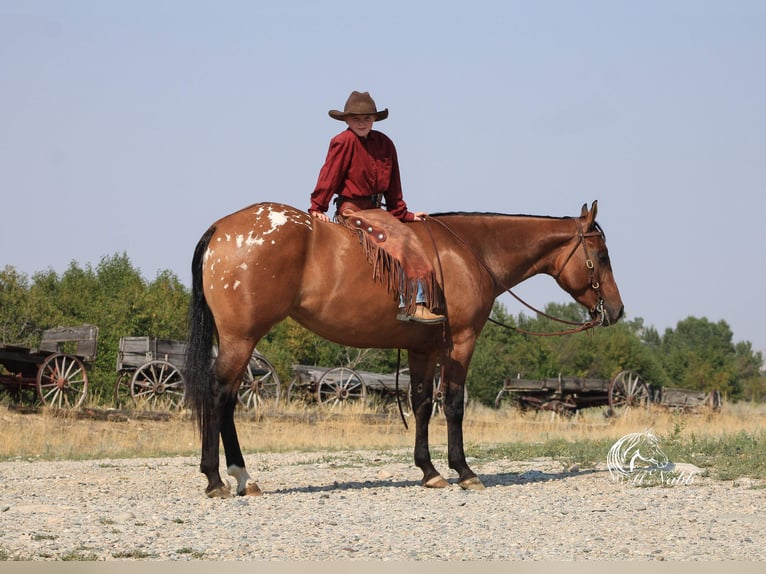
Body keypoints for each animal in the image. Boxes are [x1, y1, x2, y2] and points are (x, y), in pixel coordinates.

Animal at [184, 202, 624, 500]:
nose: (617, 310)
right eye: (601, 256)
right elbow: (454, 404)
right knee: (220, 395)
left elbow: (423, 404)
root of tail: (222, 228)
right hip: (242, 339)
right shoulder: (461, 342)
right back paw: (222, 478)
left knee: (225, 398)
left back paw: (236, 478)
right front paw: (464, 470)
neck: (470, 252)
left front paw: (429, 470)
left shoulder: (423, 349)